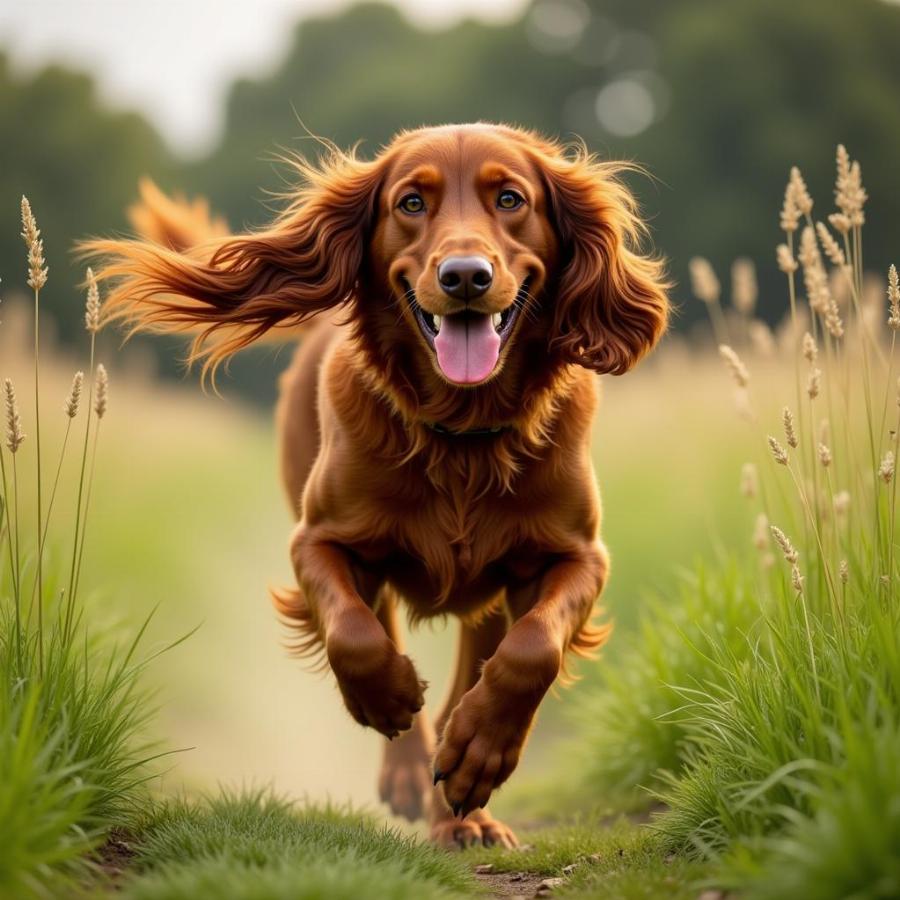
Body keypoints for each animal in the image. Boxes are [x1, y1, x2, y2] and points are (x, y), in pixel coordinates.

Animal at [91, 123, 668, 848]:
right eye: (410, 203)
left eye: (510, 198)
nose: (465, 276)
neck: (462, 434)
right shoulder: (318, 541)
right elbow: (355, 634)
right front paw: (388, 698)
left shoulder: (577, 555)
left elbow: (532, 648)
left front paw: (478, 753)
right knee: (383, 626)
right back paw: (411, 768)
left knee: (477, 667)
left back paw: (463, 802)